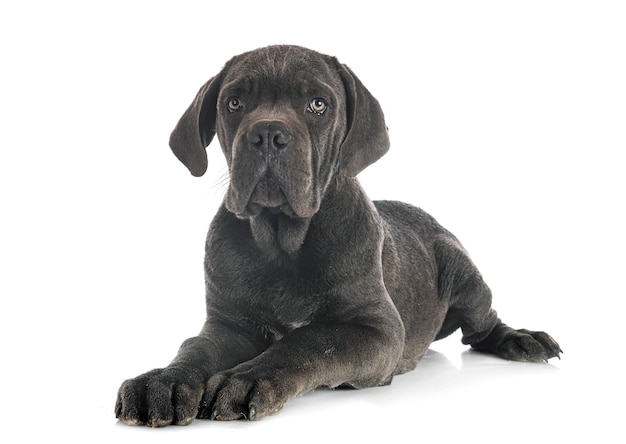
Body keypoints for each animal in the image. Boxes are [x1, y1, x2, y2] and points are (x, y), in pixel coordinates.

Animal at [113, 45, 560, 426]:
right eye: (234, 103)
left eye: (318, 104)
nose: (268, 134)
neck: (282, 242)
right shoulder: (229, 325)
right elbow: (195, 347)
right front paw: (163, 380)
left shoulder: (376, 330)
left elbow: (308, 340)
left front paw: (247, 377)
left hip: (465, 276)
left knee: (483, 326)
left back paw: (521, 339)